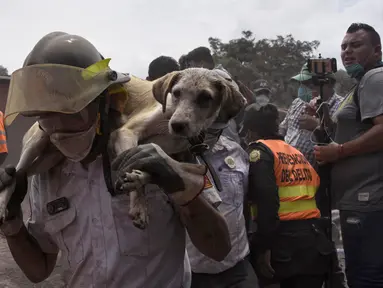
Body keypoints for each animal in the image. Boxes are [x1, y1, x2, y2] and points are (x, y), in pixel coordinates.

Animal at [0, 68, 246, 230]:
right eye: (176, 93)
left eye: (206, 98)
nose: (178, 125)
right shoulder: (125, 133)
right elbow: (134, 168)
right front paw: (139, 206)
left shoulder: (172, 155)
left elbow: (151, 168)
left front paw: (139, 180)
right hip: (36, 143)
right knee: (14, 176)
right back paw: (3, 205)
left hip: (48, 158)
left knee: (22, 175)